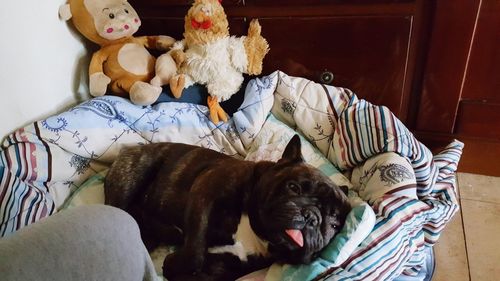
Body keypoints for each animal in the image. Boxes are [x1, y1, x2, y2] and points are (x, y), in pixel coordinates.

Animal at [104, 135, 350, 278]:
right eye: (293, 187)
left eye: (334, 224)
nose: (312, 217)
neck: (255, 232)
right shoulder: (206, 190)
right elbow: (196, 250)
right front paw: (177, 264)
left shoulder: (232, 264)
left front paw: (173, 267)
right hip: (135, 174)